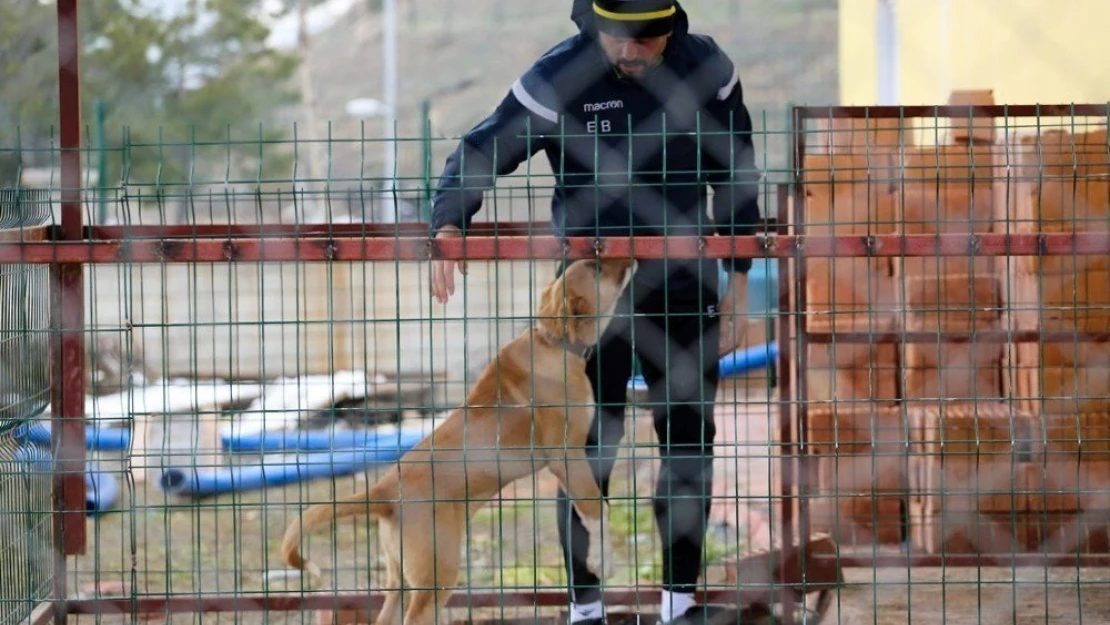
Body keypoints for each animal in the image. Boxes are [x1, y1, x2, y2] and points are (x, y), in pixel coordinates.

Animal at [281, 256, 639, 621]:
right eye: (596, 267)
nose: (630, 256)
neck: (554, 342)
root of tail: (384, 492)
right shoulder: (566, 456)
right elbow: (597, 508)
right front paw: (603, 562)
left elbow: (585, 509)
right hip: (436, 571)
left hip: (400, 577)